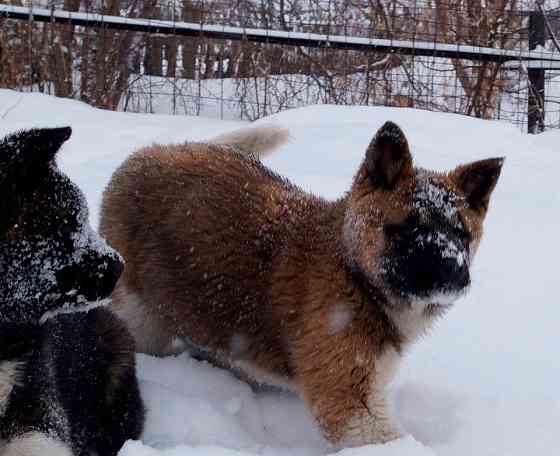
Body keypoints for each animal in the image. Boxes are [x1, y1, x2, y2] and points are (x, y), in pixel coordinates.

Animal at [99, 120, 504, 446]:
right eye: (406, 228)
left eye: (462, 234)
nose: (453, 272)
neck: (353, 272)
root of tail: (147, 154)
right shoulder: (348, 401)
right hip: (141, 317)